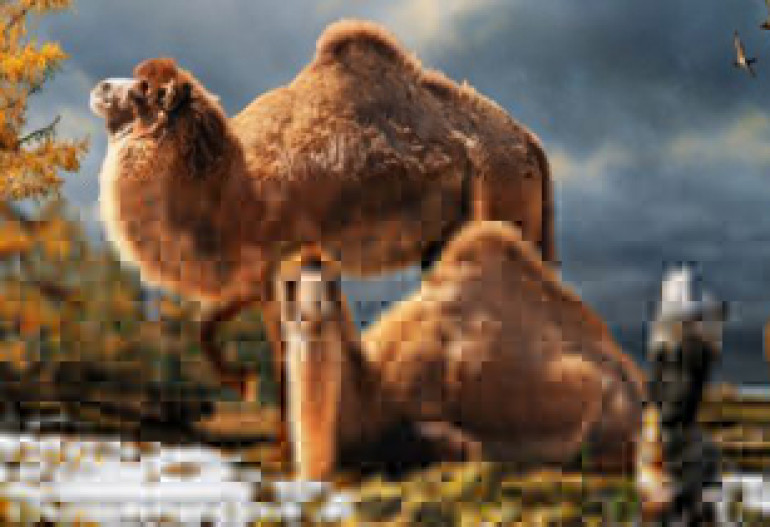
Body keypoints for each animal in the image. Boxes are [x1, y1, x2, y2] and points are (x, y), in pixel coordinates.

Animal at [90, 19, 557, 407]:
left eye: (143, 90)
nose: (100, 87)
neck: (232, 189)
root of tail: (530, 143)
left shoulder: (276, 263)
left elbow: (283, 365)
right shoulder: (254, 276)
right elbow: (209, 326)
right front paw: (244, 382)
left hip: (504, 207)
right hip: (450, 240)